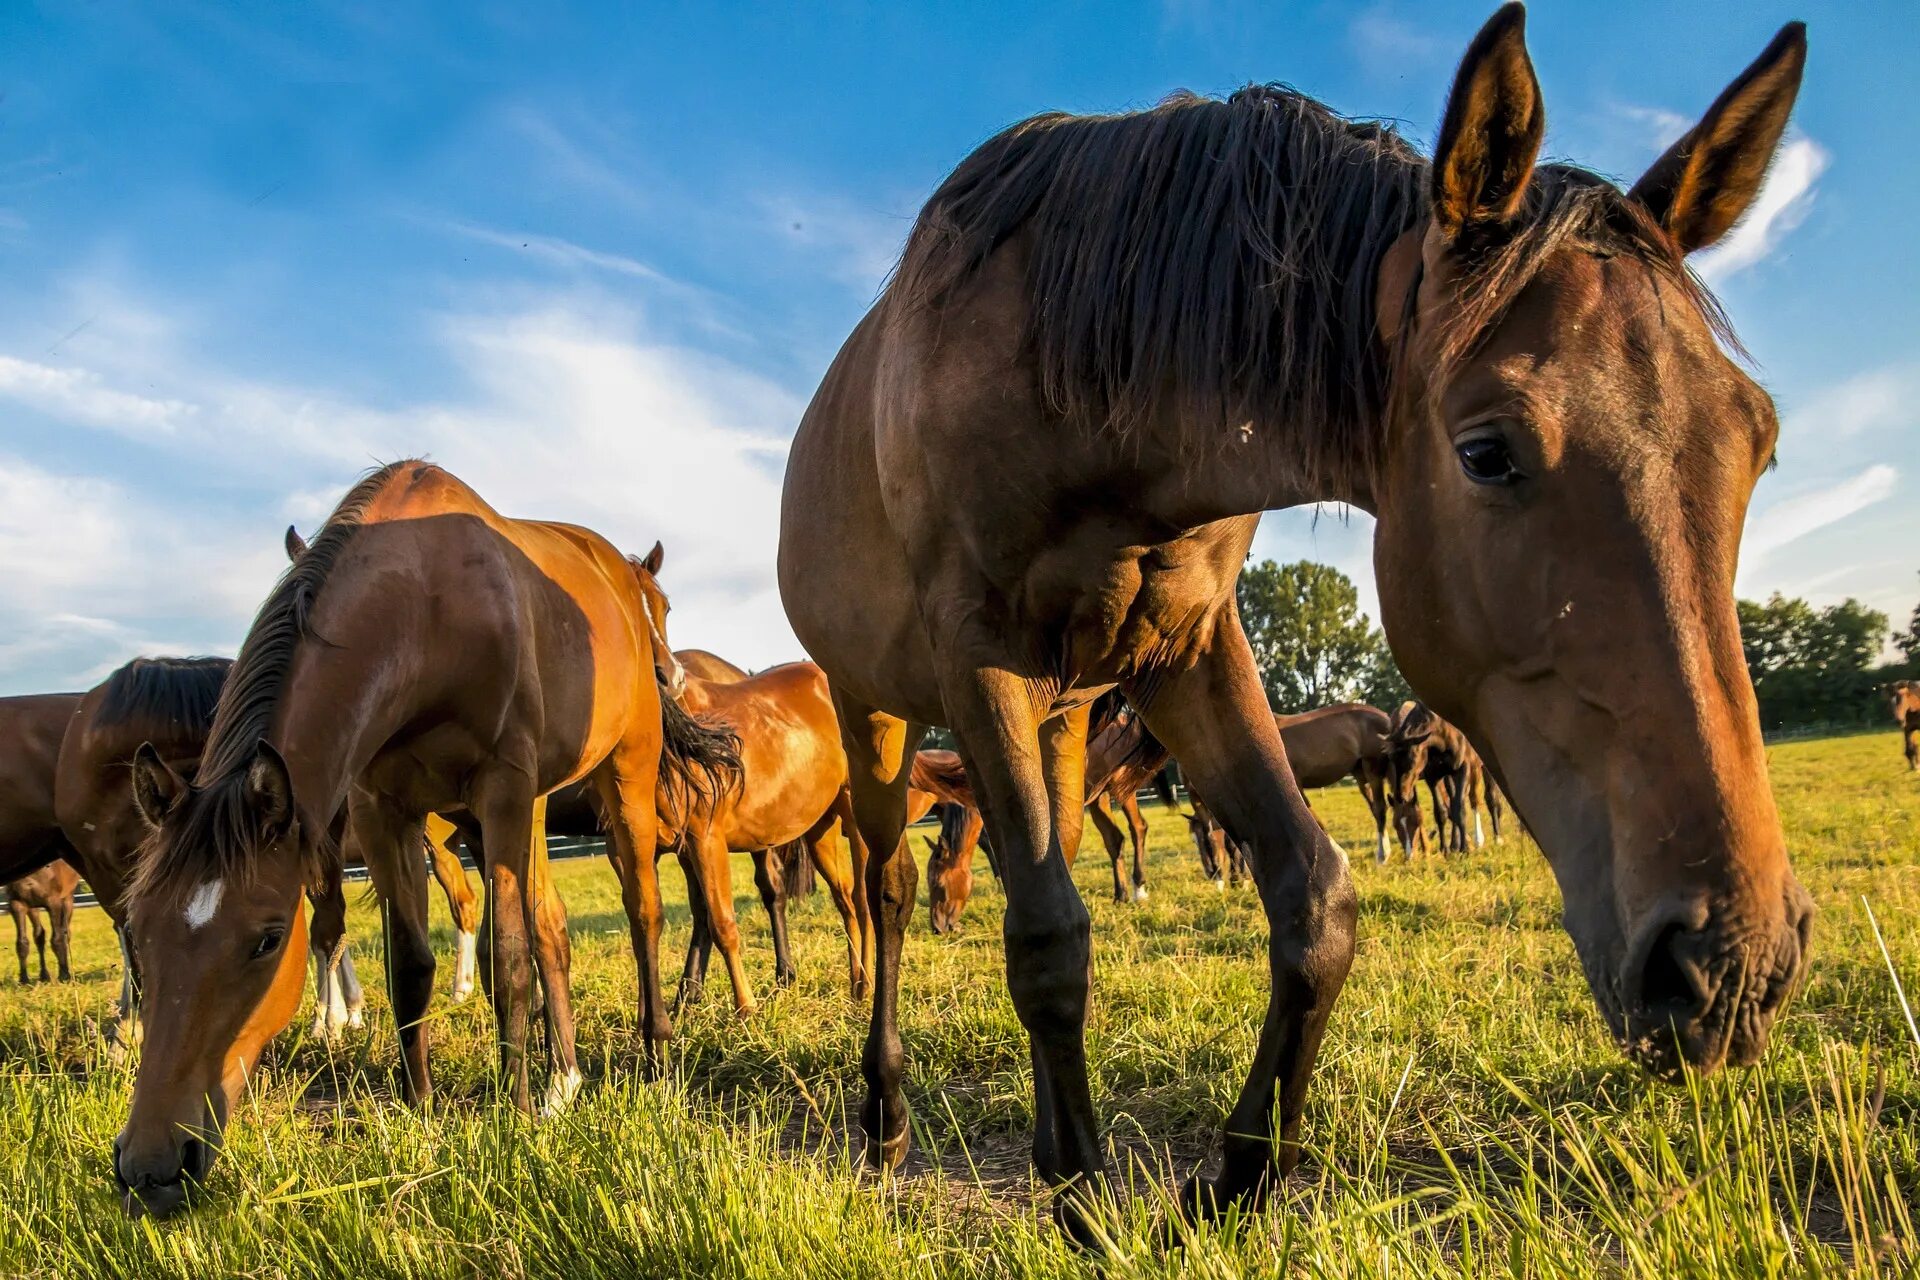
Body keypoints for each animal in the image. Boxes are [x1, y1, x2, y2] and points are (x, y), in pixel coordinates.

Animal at [4, 859, 78, 990]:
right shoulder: (17, 904)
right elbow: (22, 943)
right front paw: (23, 981)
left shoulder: (54, 902)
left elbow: (57, 939)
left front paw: (64, 976)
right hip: (33, 907)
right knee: (39, 936)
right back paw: (44, 976)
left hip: (68, 899)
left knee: (65, 933)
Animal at [116, 462, 733, 1220]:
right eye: (137, 930)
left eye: (267, 939)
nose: (150, 1165)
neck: (425, 610)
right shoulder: (383, 811)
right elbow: (410, 966)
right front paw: (422, 1110)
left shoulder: (500, 789)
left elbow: (507, 957)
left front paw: (514, 1116)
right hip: (524, 811)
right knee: (553, 926)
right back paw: (564, 1081)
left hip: (623, 775)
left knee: (641, 908)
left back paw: (654, 1057)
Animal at [775, 5, 1812, 1235]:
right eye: (1488, 451)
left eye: (1758, 443)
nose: (1731, 964)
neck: (1072, 371)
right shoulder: (975, 659)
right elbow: (1046, 941)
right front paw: (1080, 1194)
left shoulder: (1188, 649)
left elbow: (1314, 901)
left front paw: (1232, 1176)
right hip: (876, 711)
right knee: (888, 887)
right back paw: (885, 1116)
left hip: (1064, 716)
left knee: (1051, 855)